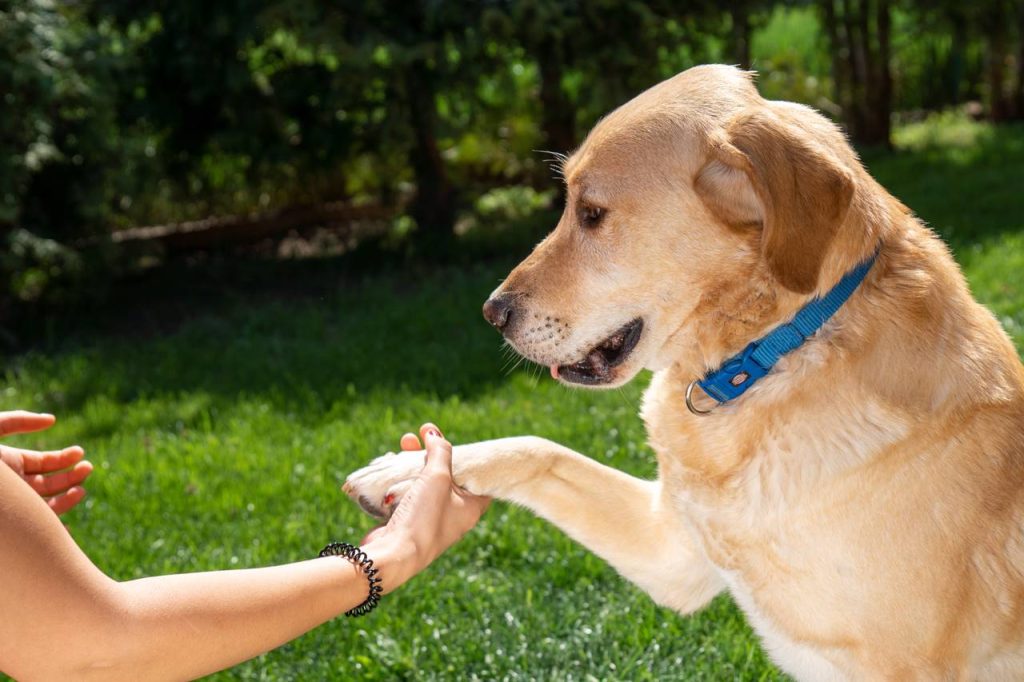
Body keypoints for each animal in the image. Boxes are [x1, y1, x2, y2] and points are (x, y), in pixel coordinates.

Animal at [346, 65, 1024, 679]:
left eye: (591, 213)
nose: (492, 313)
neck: (763, 360)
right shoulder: (671, 552)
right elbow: (539, 447)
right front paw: (410, 470)